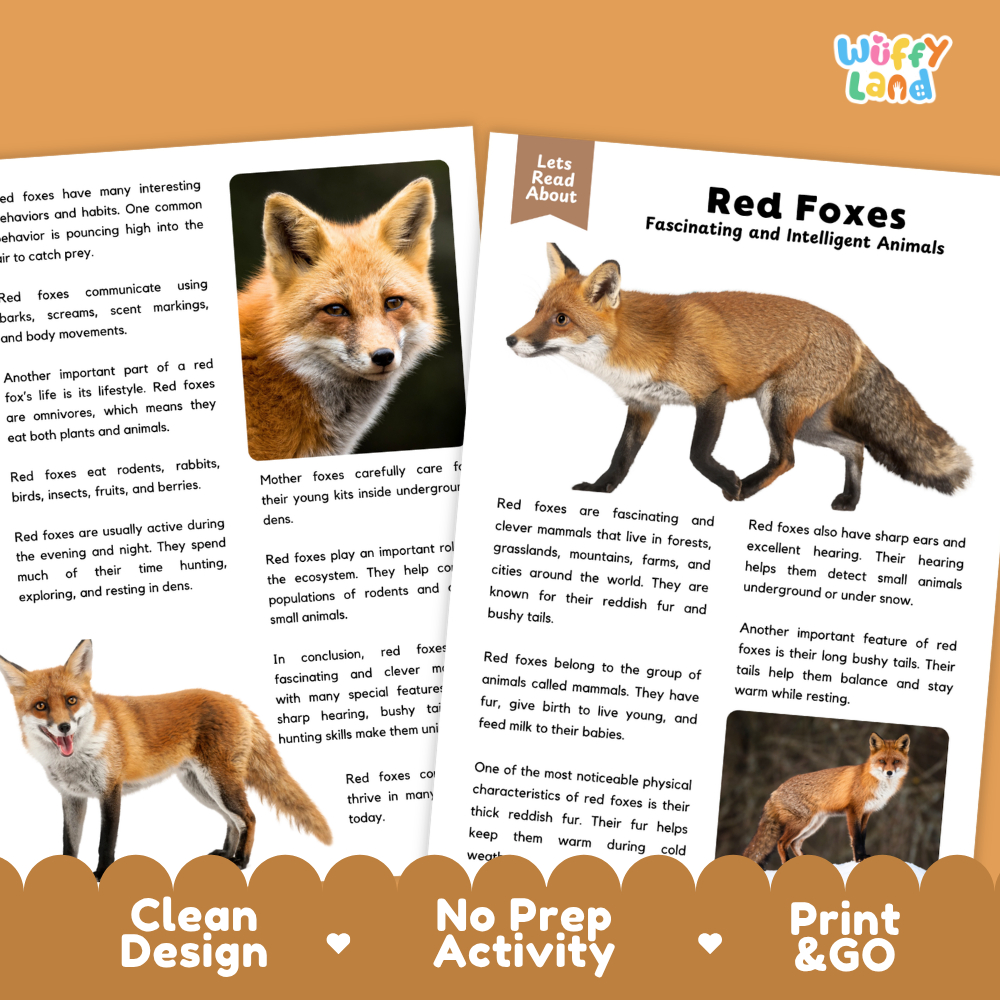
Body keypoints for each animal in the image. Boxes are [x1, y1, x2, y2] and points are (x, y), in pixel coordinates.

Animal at [0, 639, 332, 880]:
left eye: (71, 701)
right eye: (41, 706)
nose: (64, 727)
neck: (78, 756)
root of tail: (235, 701)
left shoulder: (110, 791)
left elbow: (105, 844)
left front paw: (101, 875)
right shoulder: (72, 797)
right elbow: (69, 843)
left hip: (219, 784)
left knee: (248, 817)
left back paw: (242, 860)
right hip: (201, 787)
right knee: (232, 821)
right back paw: (227, 855)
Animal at [506, 244, 970, 510]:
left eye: (561, 320)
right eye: (537, 311)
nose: (510, 339)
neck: (632, 346)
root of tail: (855, 335)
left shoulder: (713, 393)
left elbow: (697, 454)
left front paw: (727, 481)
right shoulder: (644, 405)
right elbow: (621, 457)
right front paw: (600, 490)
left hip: (777, 407)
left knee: (786, 459)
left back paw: (746, 488)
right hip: (807, 422)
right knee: (854, 448)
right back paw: (851, 501)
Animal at [743, 732, 910, 866]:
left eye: (896, 761)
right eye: (882, 761)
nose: (889, 772)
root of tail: (775, 792)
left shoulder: (867, 813)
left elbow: (862, 837)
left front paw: (863, 857)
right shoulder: (853, 811)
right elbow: (856, 839)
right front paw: (859, 859)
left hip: (814, 825)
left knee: (795, 844)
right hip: (801, 824)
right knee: (781, 843)